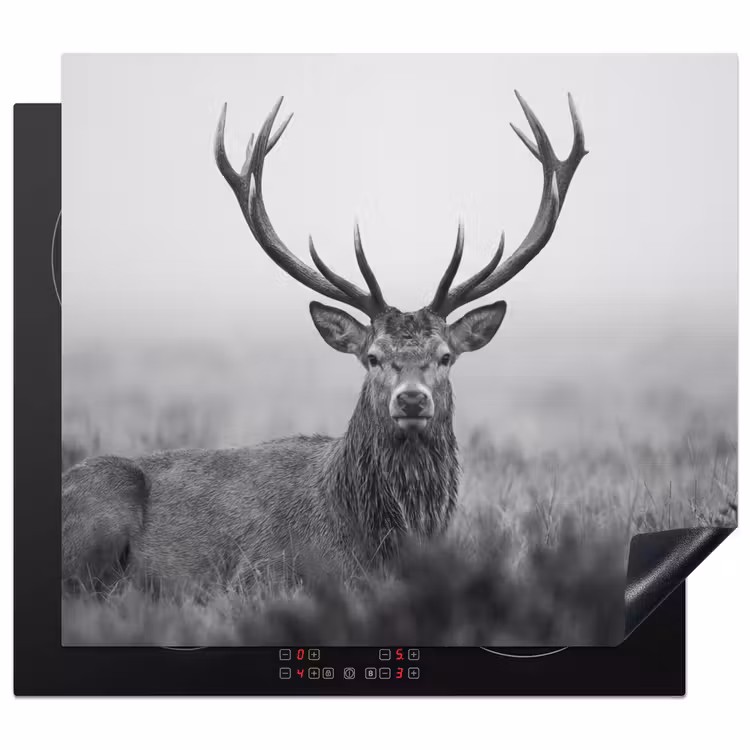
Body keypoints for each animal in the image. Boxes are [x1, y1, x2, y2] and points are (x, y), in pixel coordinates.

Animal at [62, 91, 586, 593]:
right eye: (372, 357)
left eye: (445, 357)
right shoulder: (257, 571)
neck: (371, 533)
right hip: (99, 513)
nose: (411, 399)